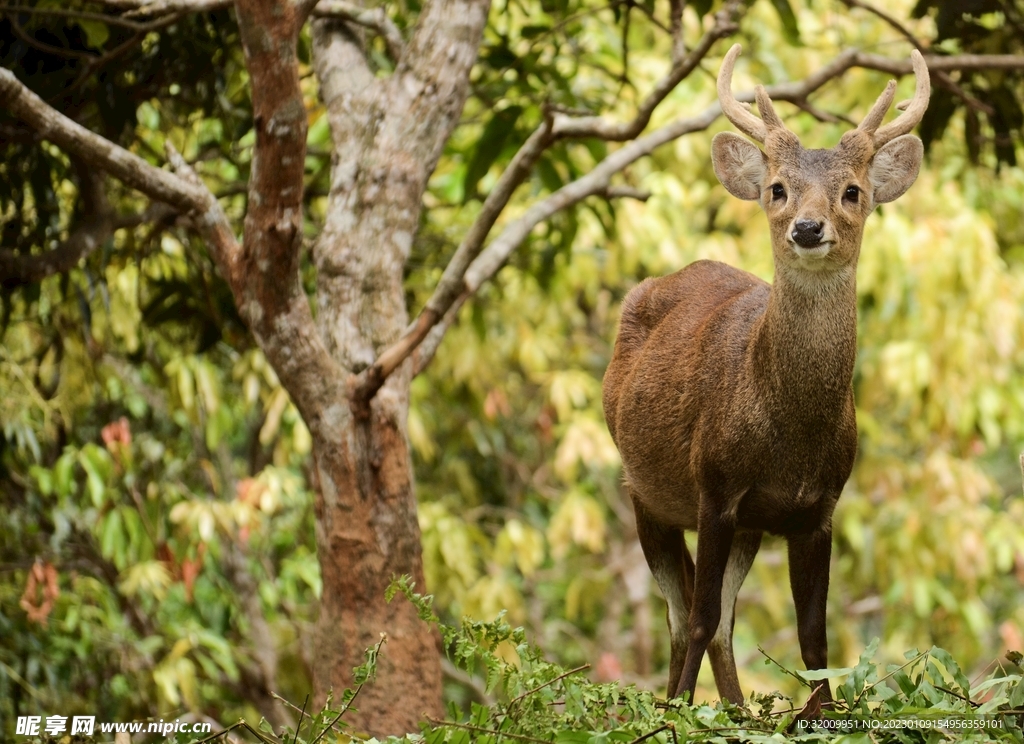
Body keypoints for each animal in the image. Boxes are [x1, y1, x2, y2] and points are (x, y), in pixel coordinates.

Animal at [602, 44, 930, 708]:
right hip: (644, 491)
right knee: (681, 615)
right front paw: (680, 713)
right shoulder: (715, 485)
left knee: (722, 622)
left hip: (744, 527)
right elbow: (699, 616)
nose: (807, 227)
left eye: (853, 192)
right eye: (778, 189)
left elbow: (814, 637)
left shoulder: (818, 507)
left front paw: (820, 714)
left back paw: (733, 709)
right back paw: (676, 702)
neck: (789, 438)